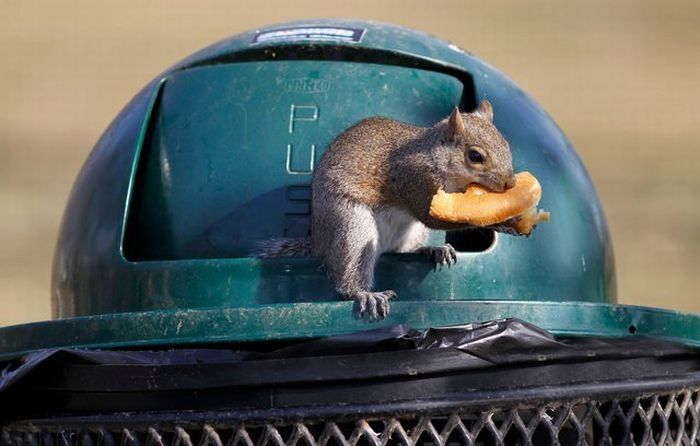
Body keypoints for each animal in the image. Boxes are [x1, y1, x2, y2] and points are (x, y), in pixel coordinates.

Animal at [258, 100, 516, 320]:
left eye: (507, 145)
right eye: (475, 156)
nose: (511, 184)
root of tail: (319, 242)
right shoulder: (414, 179)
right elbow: (431, 216)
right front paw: (502, 219)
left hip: (411, 232)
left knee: (402, 250)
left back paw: (433, 249)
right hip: (353, 226)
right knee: (347, 278)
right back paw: (364, 294)